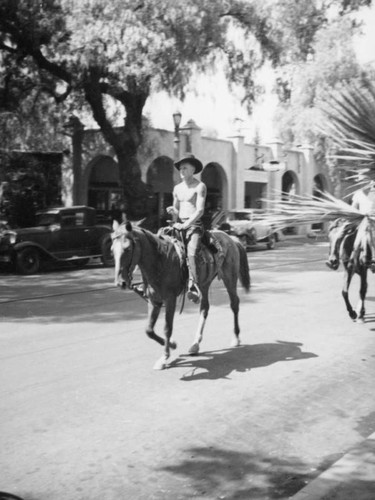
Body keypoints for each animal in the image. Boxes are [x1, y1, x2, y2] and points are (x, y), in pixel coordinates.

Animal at [113, 221, 251, 370]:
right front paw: (172, 345)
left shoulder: (170, 299)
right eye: (112, 250)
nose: (121, 282)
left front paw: (164, 357)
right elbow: (149, 330)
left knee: (234, 304)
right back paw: (195, 344)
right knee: (204, 308)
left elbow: (167, 328)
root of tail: (231, 238)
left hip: (229, 278)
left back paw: (236, 338)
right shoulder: (154, 300)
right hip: (204, 283)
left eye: (127, 249)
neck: (160, 260)